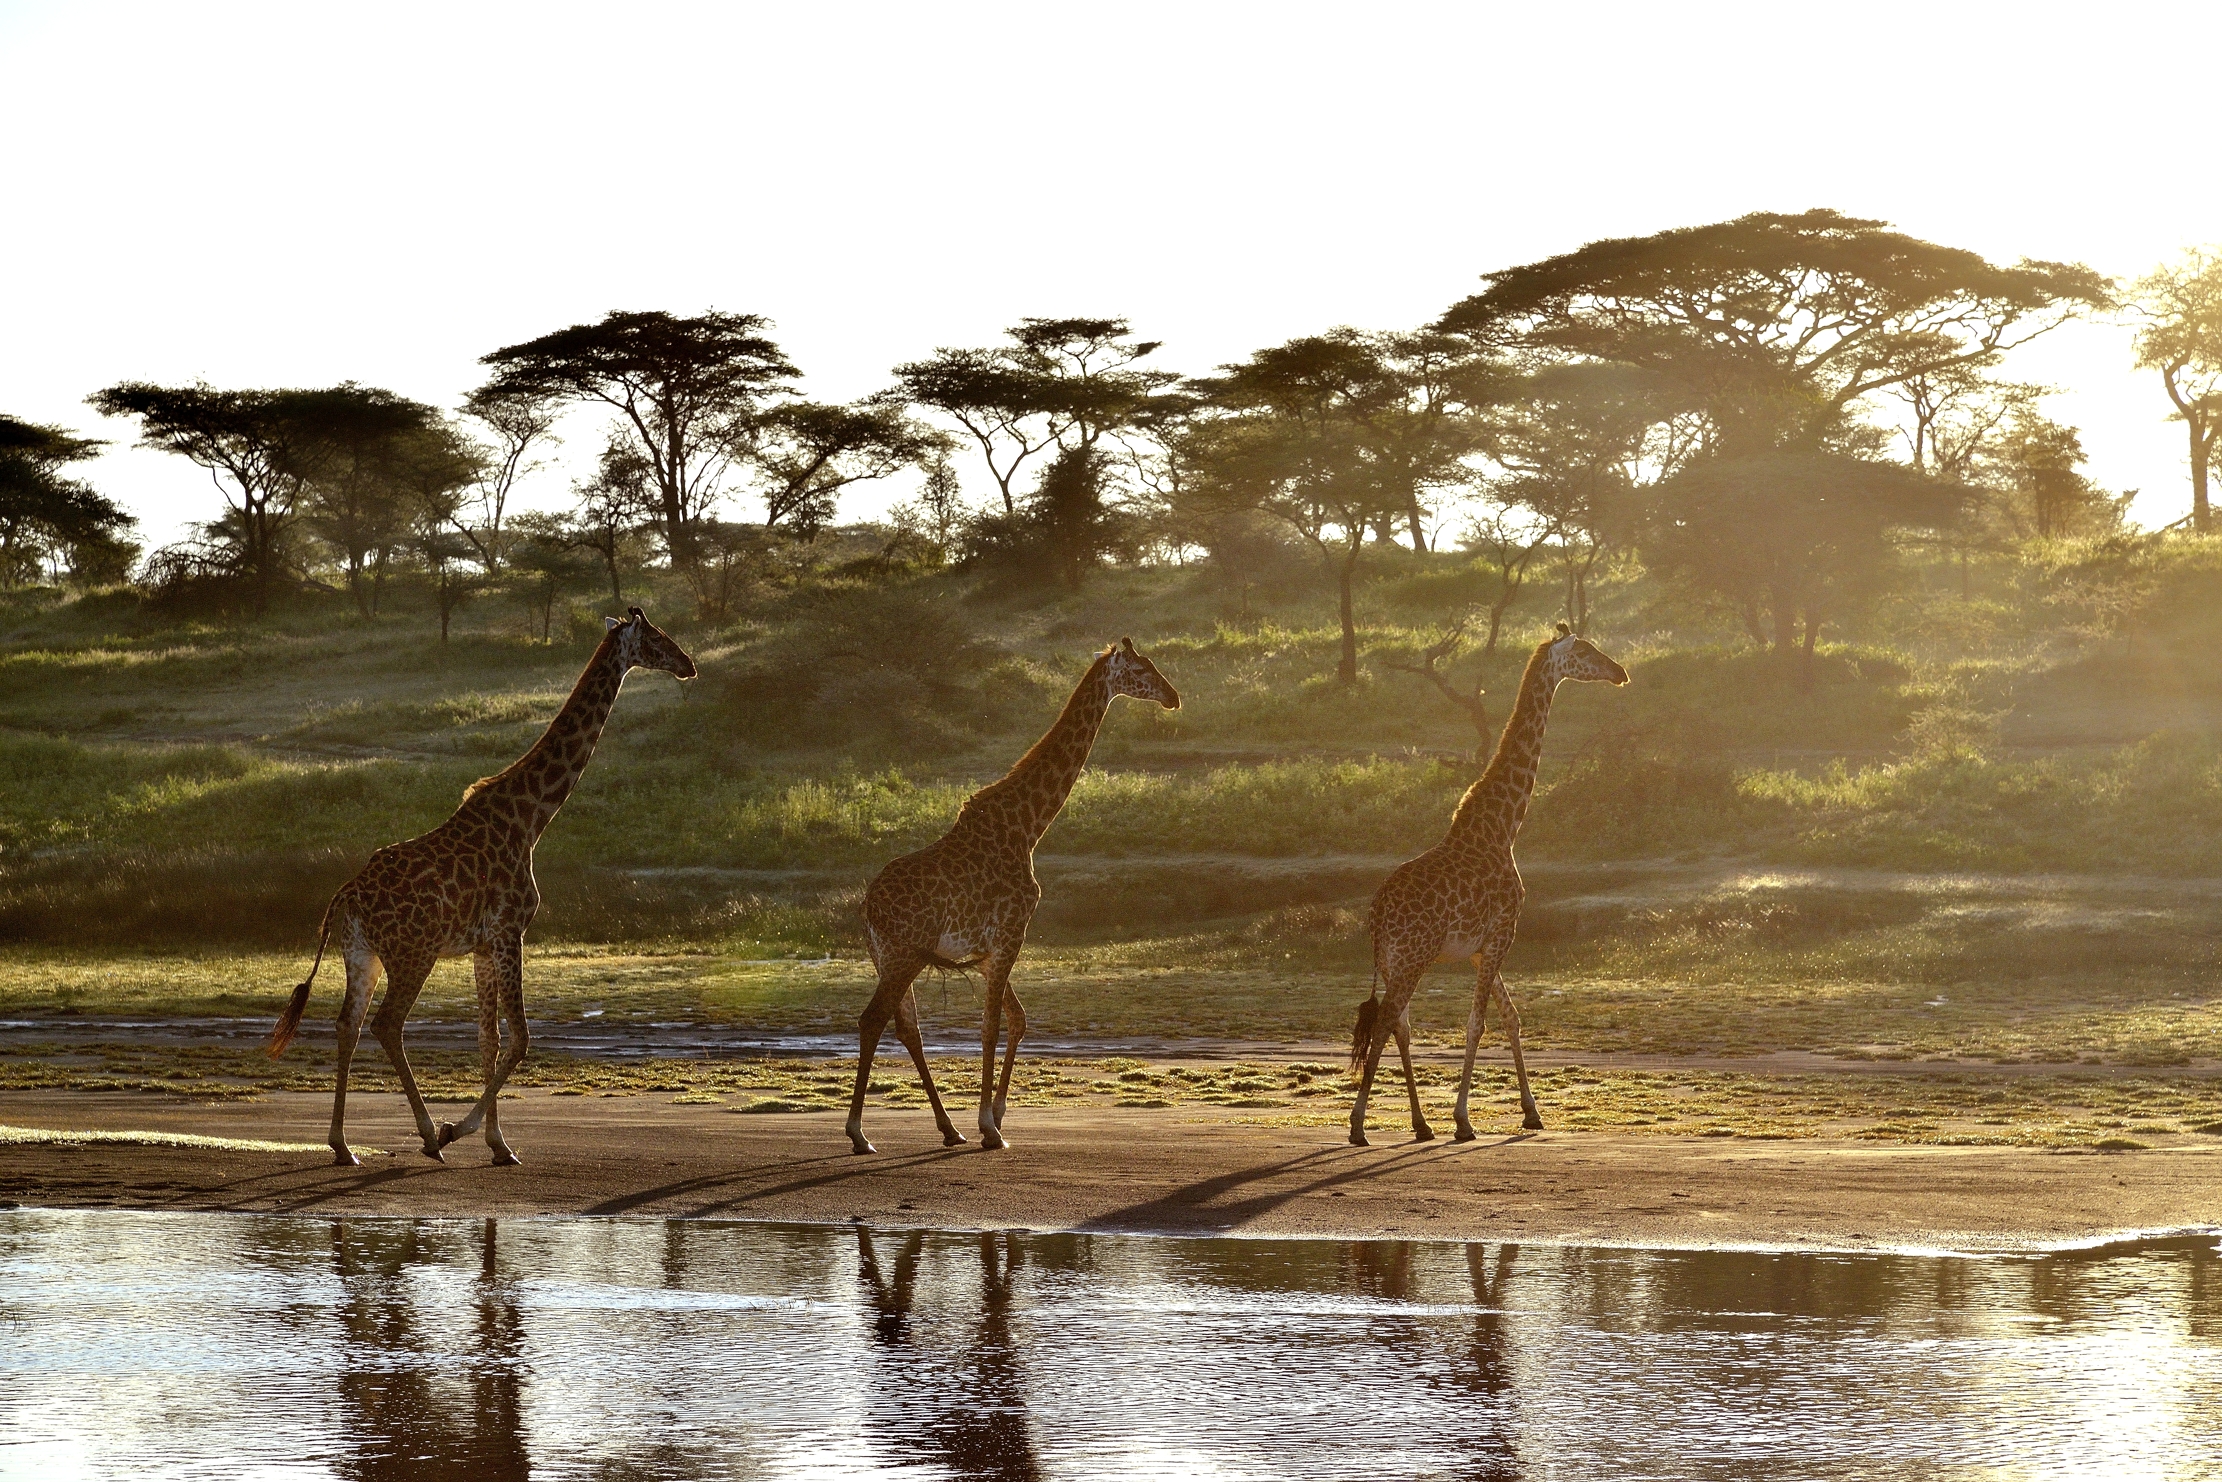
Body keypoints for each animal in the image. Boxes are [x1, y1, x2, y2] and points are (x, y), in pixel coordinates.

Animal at [265, 607, 696, 1166]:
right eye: (657, 638)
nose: (689, 664)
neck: (532, 818)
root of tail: (345, 898)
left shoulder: (484, 945)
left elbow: (488, 1039)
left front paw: (499, 1144)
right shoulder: (511, 930)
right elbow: (521, 1037)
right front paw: (461, 1130)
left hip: (363, 954)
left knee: (348, 1025)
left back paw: (342, 1146)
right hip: (413, 953)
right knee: (386, 1024)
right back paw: (429, 1135)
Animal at [845, 638, 1180, 1155]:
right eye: (1142, 669)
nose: (1173, 697)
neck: (1028, 826)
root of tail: (867, 908)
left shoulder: (990, 949)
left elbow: (1017, 1019)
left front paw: (996, 1116)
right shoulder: (1010, 933)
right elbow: (990, 1027)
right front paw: (990, 1127)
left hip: (889, 956)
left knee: (906, 1027)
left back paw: (948, 1129)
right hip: (904, 954)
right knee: (872, 1021)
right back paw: (860, 1134)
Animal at [1347, 623, 1627, 1147]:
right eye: (1584, 650)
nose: (1620, 671)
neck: (1503, 826)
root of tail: (1376, 915)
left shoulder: (1484, 946)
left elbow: (1511, 1017)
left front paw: (1532, 1114)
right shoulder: (1503, 932)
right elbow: (1477, 1023)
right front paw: (1463, 1120)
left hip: (1394, 961)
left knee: (1400, 1024)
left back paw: (1420, 1124)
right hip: (1413, 955)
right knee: (1388, 1021)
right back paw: (1358, 1126)